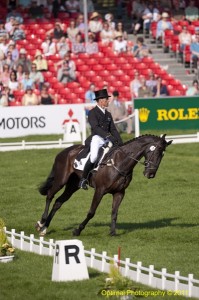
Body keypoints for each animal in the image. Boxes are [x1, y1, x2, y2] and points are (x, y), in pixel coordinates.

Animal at [35, 134, 172, 237]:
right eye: (156, 152)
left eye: (162, 155)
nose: (150, 174)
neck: (120, 162)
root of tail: (64, 151)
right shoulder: (100, 190)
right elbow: (91, 212)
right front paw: (77, 230)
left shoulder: (119, 193)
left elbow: (114, 213)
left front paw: (113, 232)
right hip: (61, 181)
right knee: (50, 195)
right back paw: (41, 224)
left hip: (73, 186)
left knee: (58, 202)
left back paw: (45, 227)